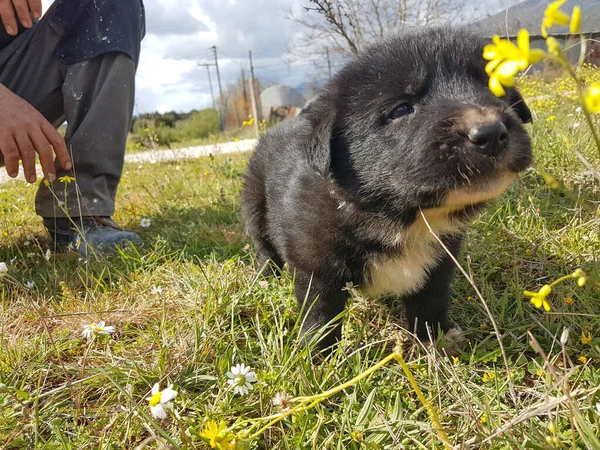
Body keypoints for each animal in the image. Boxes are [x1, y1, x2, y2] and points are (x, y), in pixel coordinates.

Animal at [241, 28, 532, 352]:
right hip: (255, 205)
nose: (491, 133)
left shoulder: (440, 260)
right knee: (263, 247)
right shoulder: (314, 263)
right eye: (401, 109)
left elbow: (431, 300)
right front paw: (316, 354)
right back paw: (265, 277)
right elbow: (320, 313)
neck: (404, 218)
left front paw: (437, 339)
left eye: (494, 89)